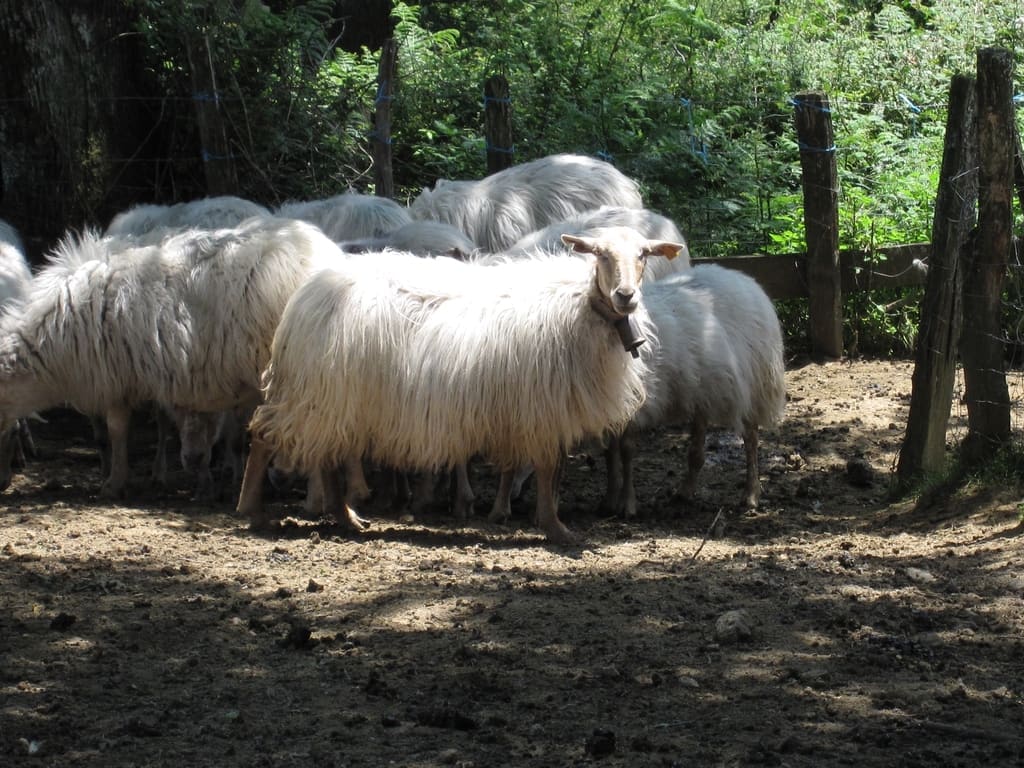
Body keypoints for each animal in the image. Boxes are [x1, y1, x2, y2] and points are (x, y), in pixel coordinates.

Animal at [237, 226, 684, 544]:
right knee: (262, 436)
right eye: (600, 255)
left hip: (333, 398)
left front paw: (546, 521)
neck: (580, 308)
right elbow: (546, 469)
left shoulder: (546, 410)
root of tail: (307, 293)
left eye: (643, 255)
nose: (626, 296)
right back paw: (252, 510)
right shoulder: (543, 409)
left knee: (326, 454)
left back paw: (346, 518)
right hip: (314, 392)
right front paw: (555, 528)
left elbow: (551, 470)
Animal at [602, 264, 786, 518]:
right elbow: (610, 451)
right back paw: (685, 490)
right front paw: (610, 499)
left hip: (751, 385)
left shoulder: (637, 405)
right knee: (698, 447)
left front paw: (627, 503)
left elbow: (627, 450)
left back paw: (750, 494)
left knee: (751, 439)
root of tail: (744, 279)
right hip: (704, 388)